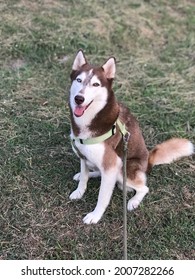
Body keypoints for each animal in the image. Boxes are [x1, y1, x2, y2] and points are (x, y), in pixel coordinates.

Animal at [68, 49, 193, 225]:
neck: (90, 121)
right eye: (79, 80)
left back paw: (133, 201)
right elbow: (84, 177)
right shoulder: (83, 156)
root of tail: (148, 162)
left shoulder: (111, 165)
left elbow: (102, 197)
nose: (79, 98)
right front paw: (79, 190)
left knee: (144, 187)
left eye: (96, 84)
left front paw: (95, 216)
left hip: (124, 168)